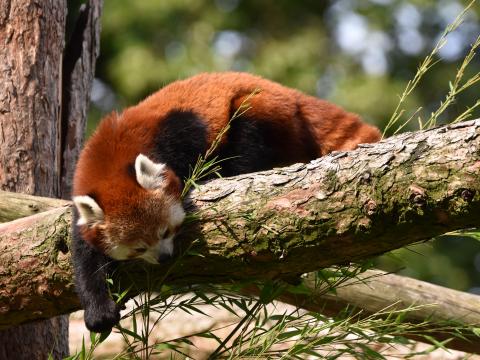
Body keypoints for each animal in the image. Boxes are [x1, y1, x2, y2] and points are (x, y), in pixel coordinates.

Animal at [71, 71, 380, 332]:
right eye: (138, 248)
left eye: (166, 231)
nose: (164, 257)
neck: (110, 158)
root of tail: (288, 93)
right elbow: (85, 258)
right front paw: (98, 310)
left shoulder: (178, 130)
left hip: (259, 109)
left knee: (247, 138)